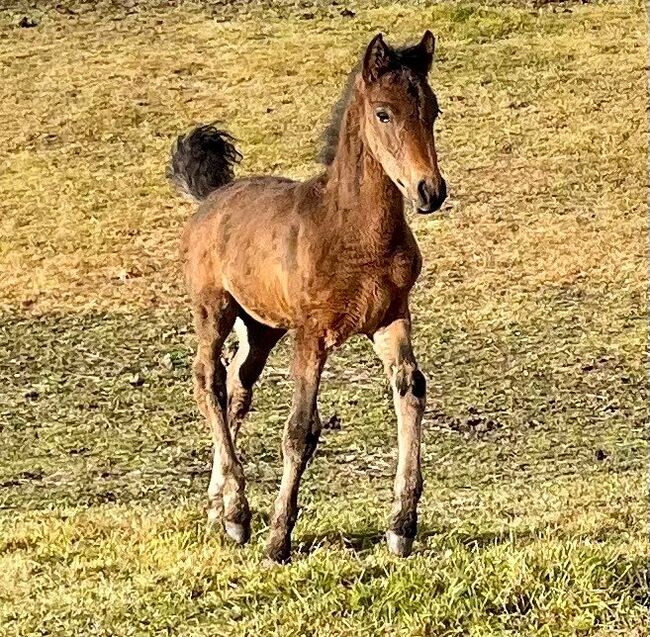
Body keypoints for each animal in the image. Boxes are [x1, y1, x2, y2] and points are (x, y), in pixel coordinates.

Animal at [168, 32, 446, 560]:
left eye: (434, 109)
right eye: (384, 113)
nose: (430, 191)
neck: (354, 232)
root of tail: (211, 197)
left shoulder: (391, 317)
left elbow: (411, 392)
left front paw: (401, 526)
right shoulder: (311, 332)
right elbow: (300, 429)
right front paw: (279, 538)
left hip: (261, 326)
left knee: (237, 384)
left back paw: (220, 506)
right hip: (214, 308)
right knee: (208, 380)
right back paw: (237, 514)